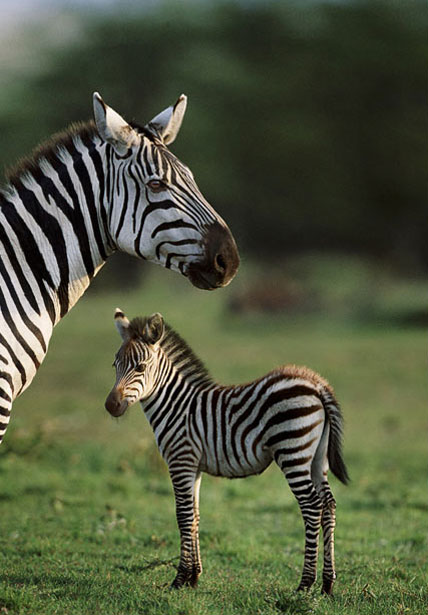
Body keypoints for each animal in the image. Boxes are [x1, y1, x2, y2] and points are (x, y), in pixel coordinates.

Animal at [105, 310, 350, 596]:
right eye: (115, 365)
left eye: (140, 368)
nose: (111, 406)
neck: (175, 404)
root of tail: (317, 384)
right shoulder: (194, 466)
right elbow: (195, 515)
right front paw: (194, 577)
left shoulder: (180, 460)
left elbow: (183, 515)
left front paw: (179, 579)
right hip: (317, 459)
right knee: (328, 505)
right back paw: (328, 583)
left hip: (293, 453)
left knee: (312, 506)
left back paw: (305, 583)